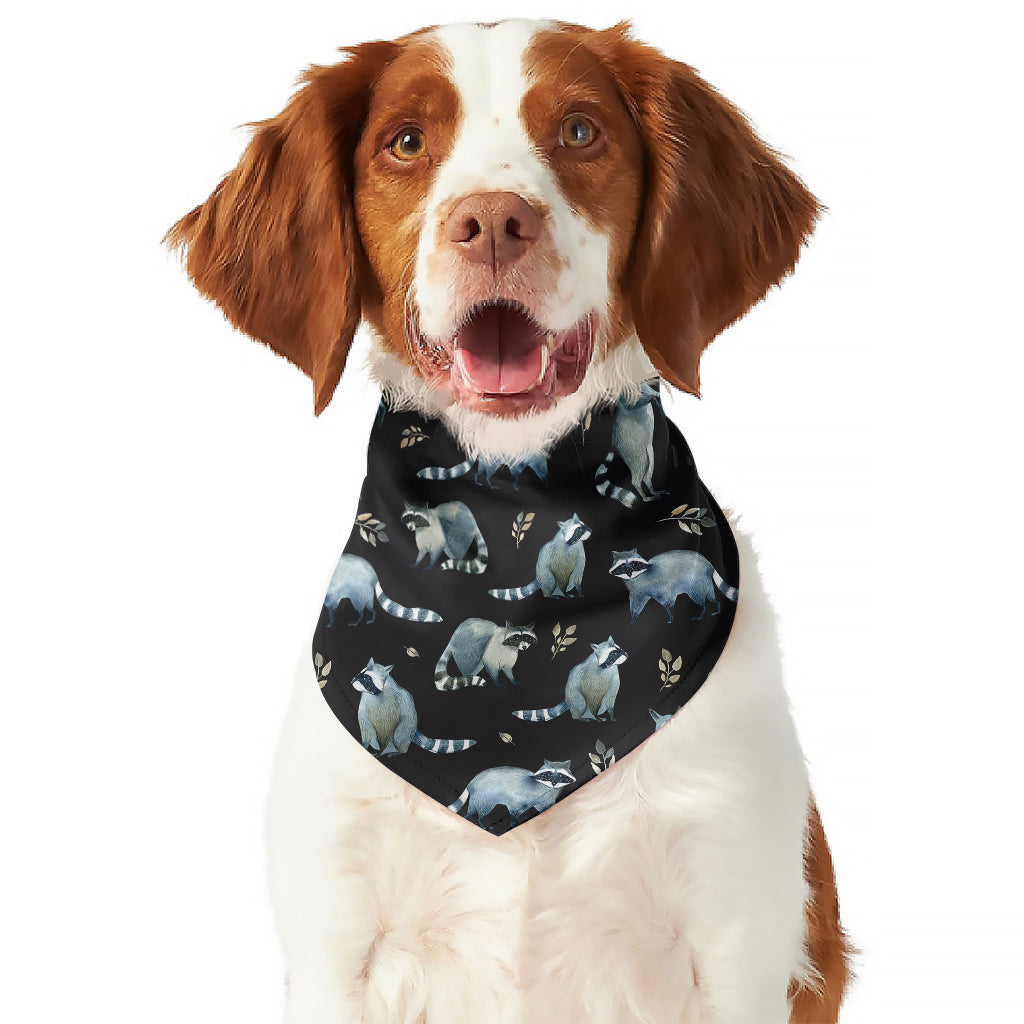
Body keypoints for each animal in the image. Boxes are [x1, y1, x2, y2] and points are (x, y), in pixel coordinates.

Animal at [417, 453, 548, 490]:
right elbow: (515, 474)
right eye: (542, 471)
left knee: (479, 472)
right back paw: (489, 483)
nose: (546, 483)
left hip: (485, 463)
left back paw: (478, 480)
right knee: (487, 475)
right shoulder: (517, 464)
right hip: (491, 464)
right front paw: (515, 485)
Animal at [448, 759, 576, 827]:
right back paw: (478, 820)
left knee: (472, 809)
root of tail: (472, 781)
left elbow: (546, 806)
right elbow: (516, 808)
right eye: (548, 774)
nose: (554, 783)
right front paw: (514, 821)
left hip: (479, 798)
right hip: (485, 796)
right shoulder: (521, 797)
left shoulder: (543, 800)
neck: (549, 788)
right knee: (481, 810)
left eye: (561, 775)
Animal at [609, 548, 738, 622]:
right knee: (711, 596)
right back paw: (716, 605)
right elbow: (636, 604)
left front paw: (671, 614)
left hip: (696, 580)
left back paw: (703, 609)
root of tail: (709, 564)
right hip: (703, 582)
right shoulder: (638, 591)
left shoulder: (659, 586)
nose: (629, 572)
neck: (636, 577)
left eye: (634, 564)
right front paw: (634, 617)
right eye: (622, 566)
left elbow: (667, 600)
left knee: (699, 597)